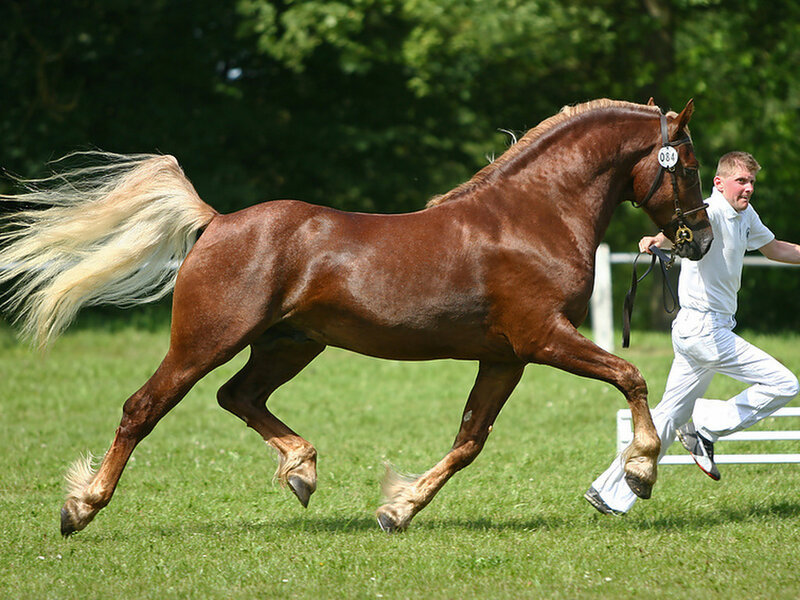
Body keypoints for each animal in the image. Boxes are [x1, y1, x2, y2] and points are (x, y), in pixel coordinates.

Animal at [0, 99, 712, 535]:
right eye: (689, 166)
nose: (700, 239)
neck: (534, 216)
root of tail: (216, 221)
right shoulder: (545, 339)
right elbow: (630, 377)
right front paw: (642, 471)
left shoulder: (505, 356)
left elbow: (469, 439)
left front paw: (399, 509)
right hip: (207, 341)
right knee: (144, 407)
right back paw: (80, 508)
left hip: (289, 344)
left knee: (240, 397)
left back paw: (302, 470)